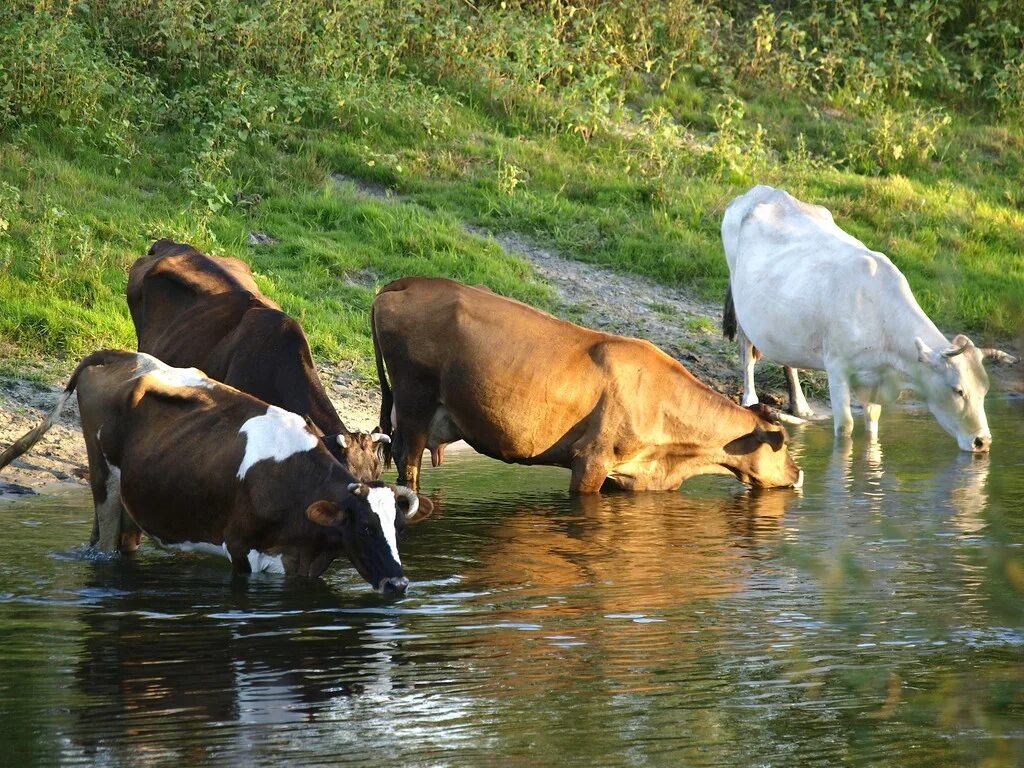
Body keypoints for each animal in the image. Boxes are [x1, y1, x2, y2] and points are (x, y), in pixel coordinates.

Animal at [0, 352, 430, 593]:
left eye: (399, 529)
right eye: (365, 528)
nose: (398, 583)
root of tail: (121, 356)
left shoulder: (299, 563)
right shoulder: (240, 549)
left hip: (133, 504)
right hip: (104, 480)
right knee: (105, 545)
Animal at [372, 280, 802, 495]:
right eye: (780, 443)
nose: (798, 473)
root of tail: (405, 282)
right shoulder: (592, 458)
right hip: (414, 403)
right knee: (408, 466)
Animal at [724, 185, 1011, 450]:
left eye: (985, 390)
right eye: (958, 390)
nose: (982, 442)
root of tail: (760, 191)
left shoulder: (874, 380)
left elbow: (872, 425)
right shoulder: (837, 367)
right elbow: (845, 427)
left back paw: (802, 406)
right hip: (740, 300)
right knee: (746, 348)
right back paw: (750, 398)